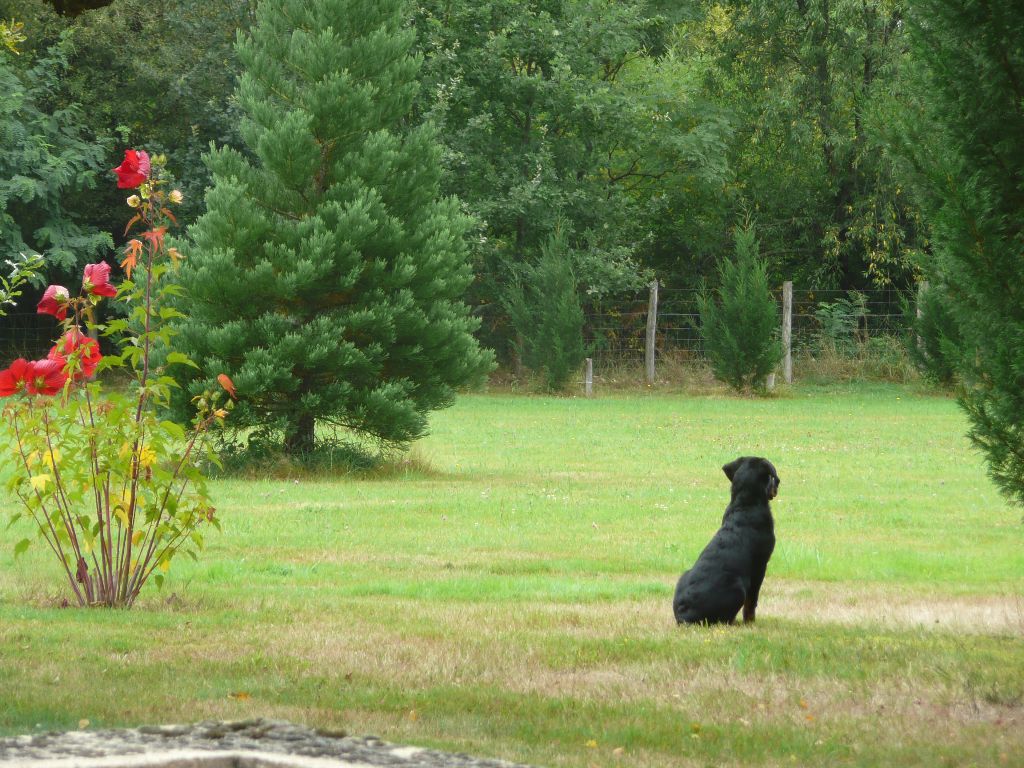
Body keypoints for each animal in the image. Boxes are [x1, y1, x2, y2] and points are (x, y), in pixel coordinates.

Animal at [675, 456, 778, 626]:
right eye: (771, 478)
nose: (777, 485)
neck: (745, 504)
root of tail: (684, 616)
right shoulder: (760, 567)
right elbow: (751, 602)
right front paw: (750, 622)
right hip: (737, 587)